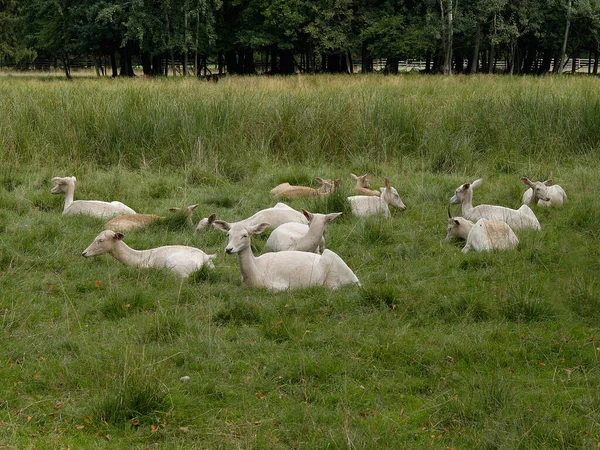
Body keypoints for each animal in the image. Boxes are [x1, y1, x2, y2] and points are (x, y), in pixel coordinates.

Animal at [213, 220, 358, 290]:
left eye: (245, 235)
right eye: (228, 234)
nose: (228, 249)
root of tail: (356, 279)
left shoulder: (278, 285)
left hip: (333, 262)